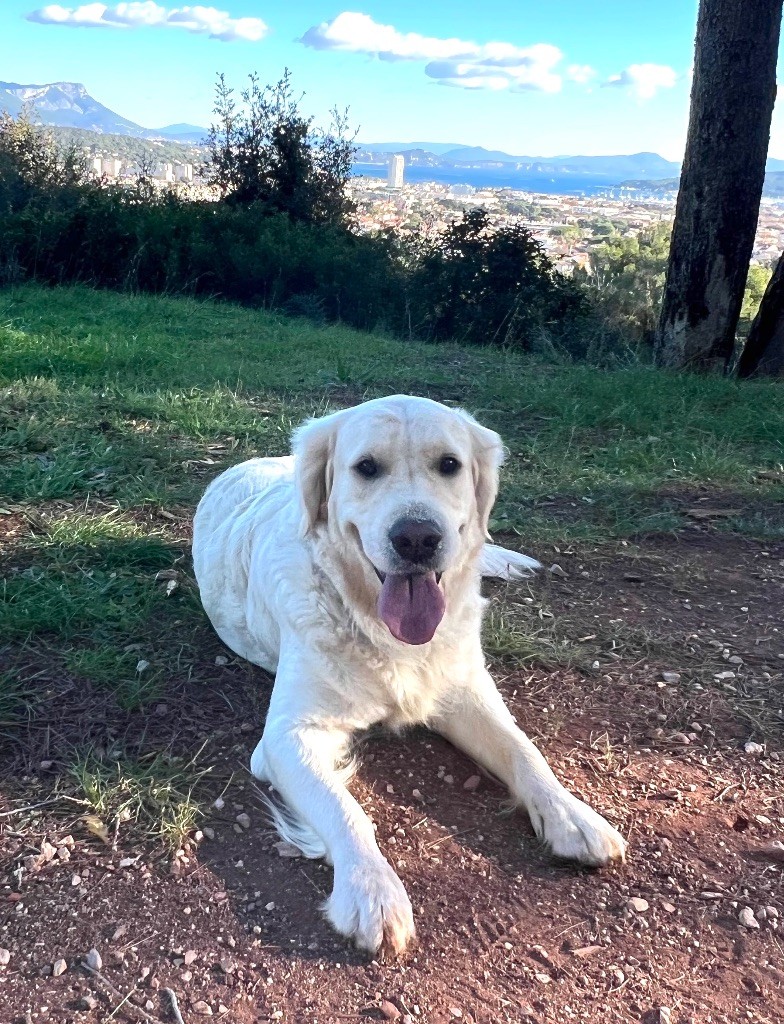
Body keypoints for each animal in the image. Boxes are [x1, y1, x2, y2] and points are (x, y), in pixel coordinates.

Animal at [192, 395, 626, 954]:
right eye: (366, 468)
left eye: (449, 464)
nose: (417, 537)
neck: (378, 625)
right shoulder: (287, 738)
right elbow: (345, 810)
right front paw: (371, 891)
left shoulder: (464, 691)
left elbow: (524, 750)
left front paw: (573, 816)